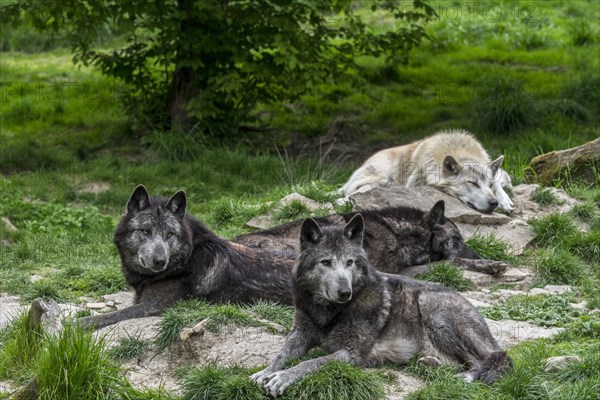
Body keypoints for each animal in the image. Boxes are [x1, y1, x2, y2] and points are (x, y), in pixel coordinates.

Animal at [79, 186, 296, 330]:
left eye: (170, 234)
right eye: (146, 231)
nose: (160, 261)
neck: (185, 260)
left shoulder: (151, 307)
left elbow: (107, 316)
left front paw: (77, 323)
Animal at [237, 202, 508, 276]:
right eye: (458, 240)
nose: (480, 255)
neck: (396, 233)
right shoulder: (393, 270)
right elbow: (453, 261)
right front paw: (488, 264)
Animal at [251, 216, 512, 396]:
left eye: (350, 262)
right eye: (325, 262)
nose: (345, 292)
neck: (328, 311)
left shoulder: (351, 353)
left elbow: (311, 362)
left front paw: (282, 377)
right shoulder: (300, 334)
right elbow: (282, 353)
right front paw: (264, 372)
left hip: (434, 310)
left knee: (493, 359)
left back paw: (464, 378)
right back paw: (432, 364)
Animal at [340, 130, 512, 212]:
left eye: (489, 185)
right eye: (472, 183)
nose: (494, 203)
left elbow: (500, 185)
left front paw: (505, 201)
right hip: (381, 179)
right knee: (351, 194)